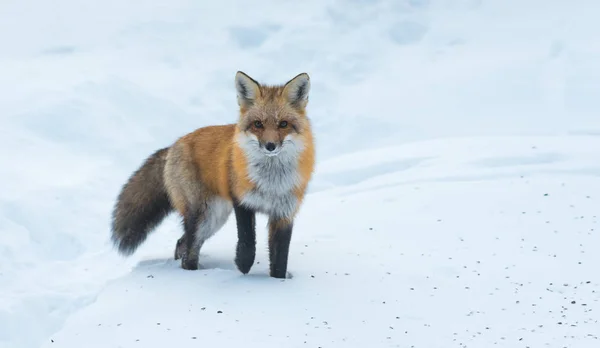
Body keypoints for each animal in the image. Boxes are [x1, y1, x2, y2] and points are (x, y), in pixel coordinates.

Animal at [110, 70, 316, 278]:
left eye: (283, 124)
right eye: (258, 124)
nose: (270, 146)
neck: (271, 183)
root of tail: (174, 145)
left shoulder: (284, 213)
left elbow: (280, 259)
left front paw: (278, 282)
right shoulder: (241, 200)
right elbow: (247, 240)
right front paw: (243, 265)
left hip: (214, 219)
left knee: (181, 243)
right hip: (206, 216)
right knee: (189, 248)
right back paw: (191, 275)